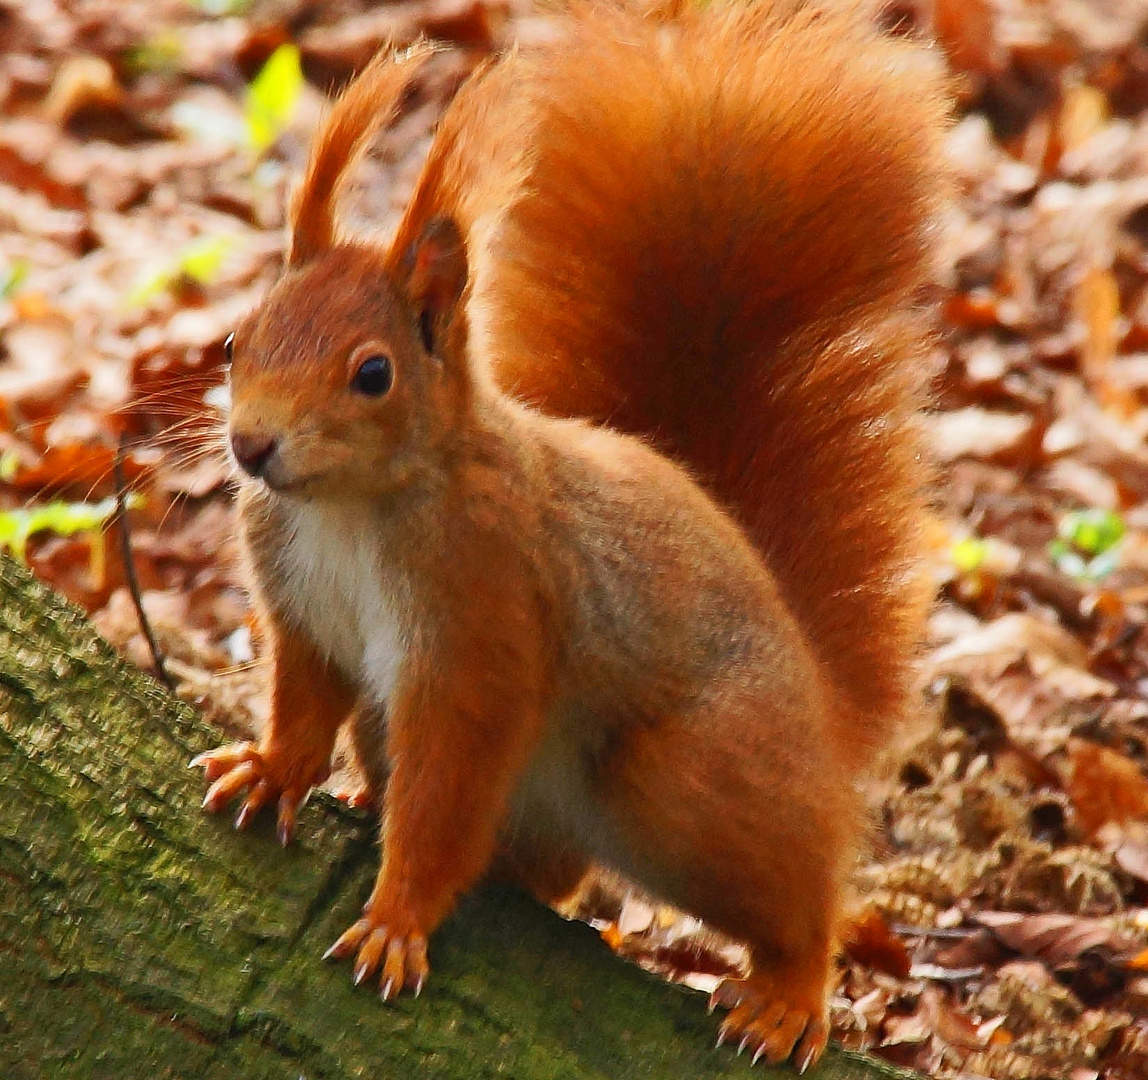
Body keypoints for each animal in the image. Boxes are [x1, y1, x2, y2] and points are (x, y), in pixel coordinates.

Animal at [192, 0, 948, 1070]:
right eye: (236, 342)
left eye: (373, 373)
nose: (251, 446)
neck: (351, 506)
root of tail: (820, 700)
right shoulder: (303, 608)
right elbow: (303, 702)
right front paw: (270, 770)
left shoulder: (484, 621)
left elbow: (446, 789)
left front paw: (397, 917)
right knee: (540, 874)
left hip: (689, 781)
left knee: (801, 889)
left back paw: (792, 991)